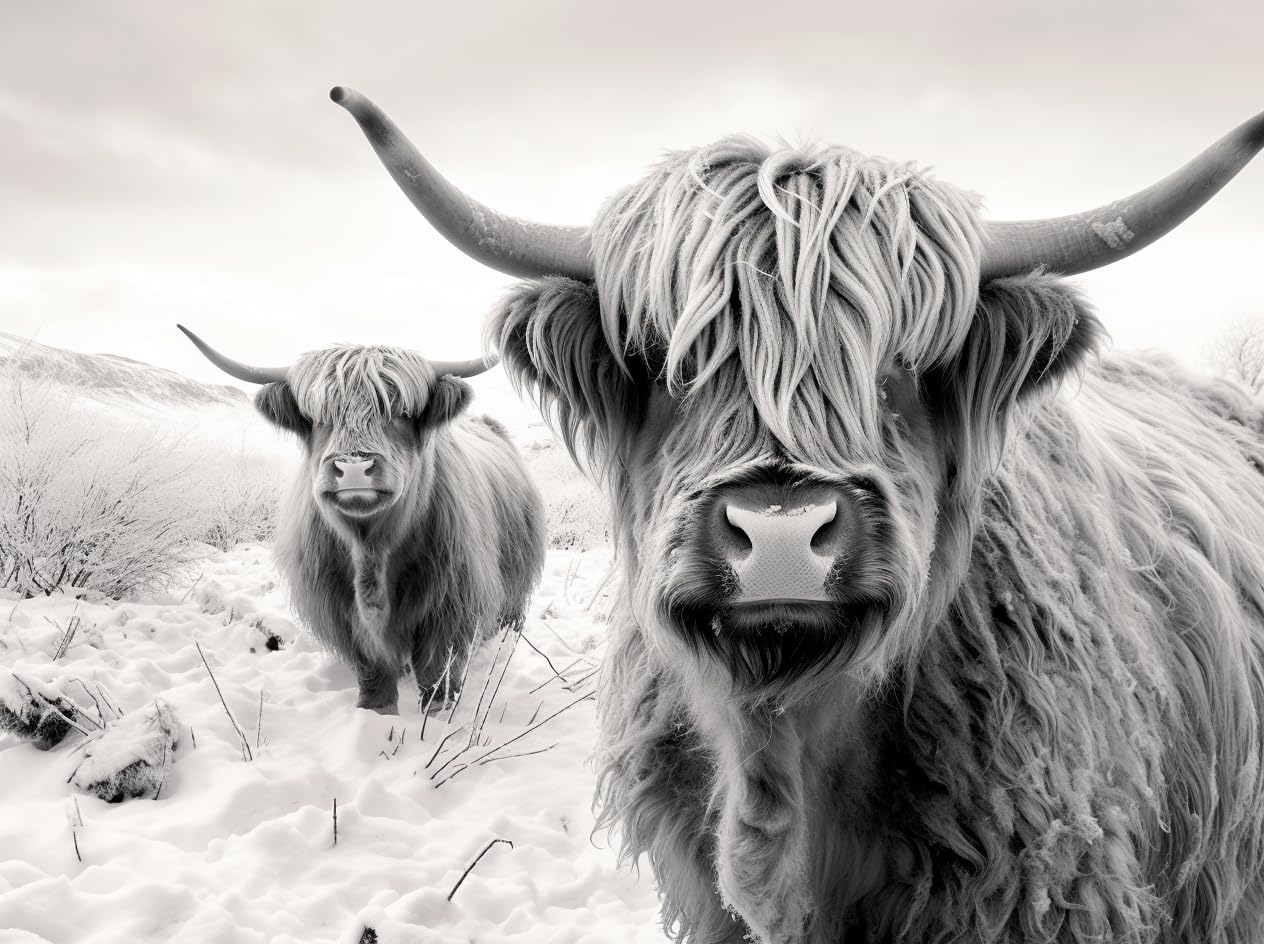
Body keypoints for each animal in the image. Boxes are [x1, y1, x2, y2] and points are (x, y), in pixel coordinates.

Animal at [179, 328, 544, 715]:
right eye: (318, 416)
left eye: (402, 411)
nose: (353, 467)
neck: (370, 549)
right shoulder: (341, 612)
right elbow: (373, 671)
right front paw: (377, 713)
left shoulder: (449, 606)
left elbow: (436, 673)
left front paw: (435, 716)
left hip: (514, 591)